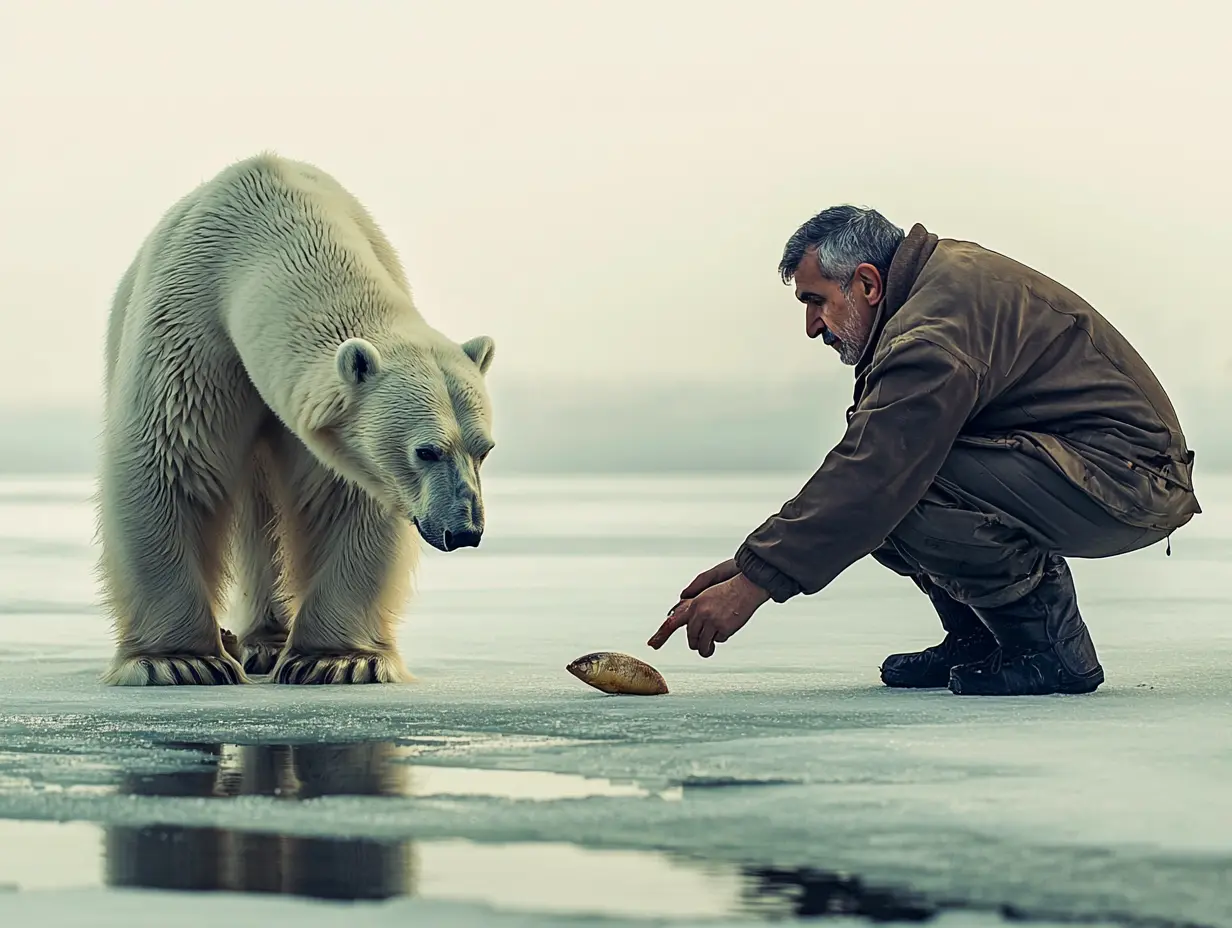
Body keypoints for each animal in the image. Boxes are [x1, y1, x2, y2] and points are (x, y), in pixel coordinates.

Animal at [96, 152, 496, 686]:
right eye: (426, 450)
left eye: (484, 449)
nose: (465, 532)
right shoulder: (189, 327)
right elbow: (171, 463)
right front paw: (181, 661)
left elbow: (341, 494)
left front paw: (338, 660)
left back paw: (265, 644)